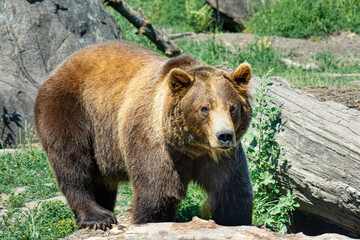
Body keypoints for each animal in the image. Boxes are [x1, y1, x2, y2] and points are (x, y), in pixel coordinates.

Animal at [33, 40, 253, 230]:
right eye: (204, 108)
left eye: (232, 107)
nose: (224, 135)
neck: (191, 146)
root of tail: (62, 65)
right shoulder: (154, 142)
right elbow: (156, 194)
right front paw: (149, 219)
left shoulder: (221, 157)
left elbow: (231, 192)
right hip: (71, 109)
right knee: (72, 162)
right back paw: (98, 216)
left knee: (101, 181)